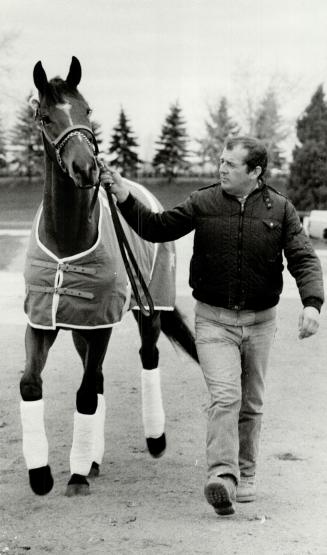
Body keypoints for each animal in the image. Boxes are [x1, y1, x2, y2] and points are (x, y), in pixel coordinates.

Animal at [21, 57, 200, 500]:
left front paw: (76, 476)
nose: (87, 168)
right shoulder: (45, 320)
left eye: (87, 110)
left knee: (147, 356)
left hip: (150, 309)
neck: (67, 238)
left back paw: (155, 440)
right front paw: (42, 474)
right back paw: (93, 458)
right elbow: (32, 384)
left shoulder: (101, 323)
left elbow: (86, 393)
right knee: (97, 376)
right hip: (81, 328)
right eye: (45, 117)